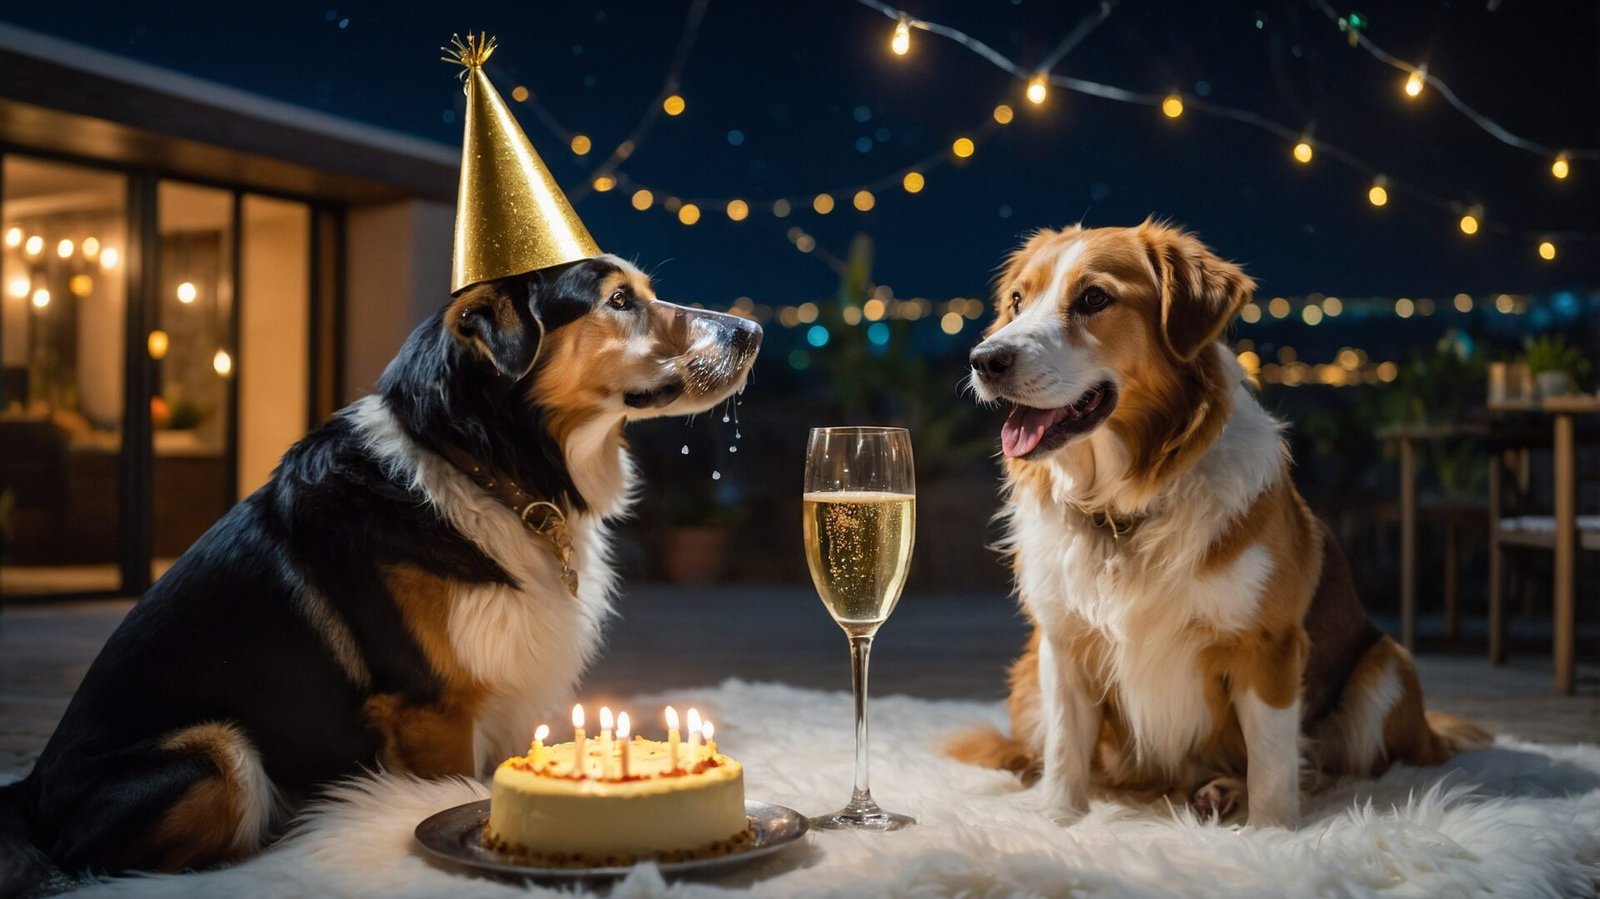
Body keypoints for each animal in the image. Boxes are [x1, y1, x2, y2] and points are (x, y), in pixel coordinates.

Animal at [0, 252, 761, 883]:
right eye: (620, 301)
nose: (751, 332)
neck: (484, 466)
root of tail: (31, 795)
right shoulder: (433, 707)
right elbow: (452, 793)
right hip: (219, 754)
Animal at [947, 220, 1484, 825]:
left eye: (1094, 298)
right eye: (1018, 300)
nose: (984, 359)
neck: (1125, 506)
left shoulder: (1268, 646)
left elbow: (1273, 762)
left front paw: (1273, 832)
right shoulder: (1062, 644)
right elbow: (1065, 756)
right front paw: (1059, 822)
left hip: (1386, 668)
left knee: (1318, 767)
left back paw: (1229, 792)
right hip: (1026, 678)